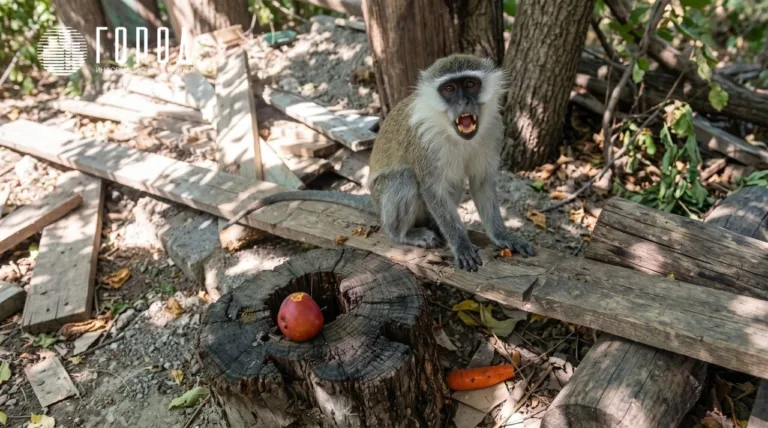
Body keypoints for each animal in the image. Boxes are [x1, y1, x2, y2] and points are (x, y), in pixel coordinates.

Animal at [225, 54, 535, 271]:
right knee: (405, 179)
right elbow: (431, 188)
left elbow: (482, 183)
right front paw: (460, 244)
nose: (464, 104)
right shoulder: (425, 144)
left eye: (470, 84)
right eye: (449, 89)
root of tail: (374, 205)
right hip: (384, 199)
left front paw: (502, 235)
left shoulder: (494, 130)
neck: (454, 132)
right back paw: (404, 234)